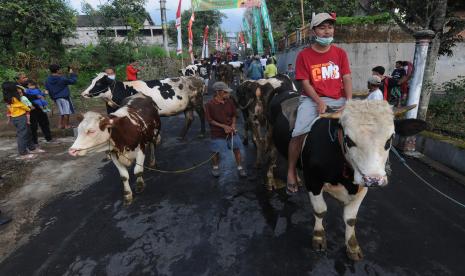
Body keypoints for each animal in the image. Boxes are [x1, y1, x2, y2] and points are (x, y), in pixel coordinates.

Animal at [266, 98, 426, 260]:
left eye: (390, 139)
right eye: (349, 140)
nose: (374, 180)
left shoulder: (362, 187)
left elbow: (350, 219)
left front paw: (352, 246)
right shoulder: (313, 181)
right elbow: (320, 210)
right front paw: (319, 237)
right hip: (269, 136)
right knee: (270, 158)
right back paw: (272, 181)